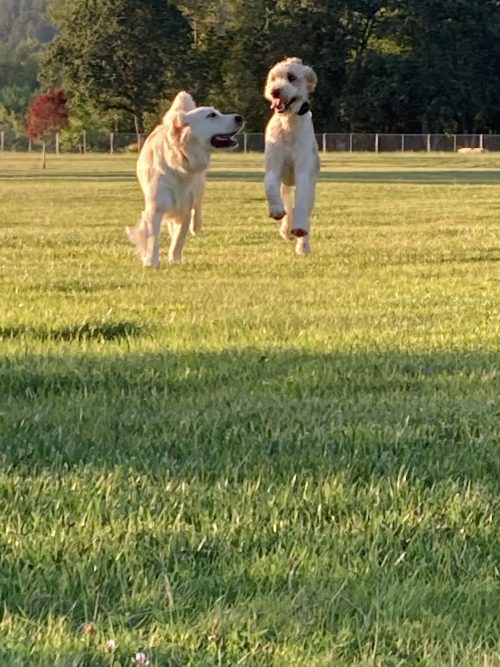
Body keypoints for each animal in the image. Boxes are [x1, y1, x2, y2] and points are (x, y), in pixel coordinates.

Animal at [128, 90, 243, 266]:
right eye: (211, 115)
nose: (239, 117)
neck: (179, 160)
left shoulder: (185, 207)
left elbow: (179, 238)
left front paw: (174, 258)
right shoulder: (156, 206)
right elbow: (153, 236)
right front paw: (151, 261)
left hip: (199, 187)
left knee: (197, 206)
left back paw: (196, 225)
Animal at [264, 58, 318, 256]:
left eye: (291, 77)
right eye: (273, 78)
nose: (274, 91)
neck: (287, 122)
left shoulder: (304, 173)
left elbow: (301, 203)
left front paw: (300, 232)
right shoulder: (274, 167)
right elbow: (270, 186)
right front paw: (276, 210)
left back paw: (302, 244)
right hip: (285, 184)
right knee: (287, 202)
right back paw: (286, 228)